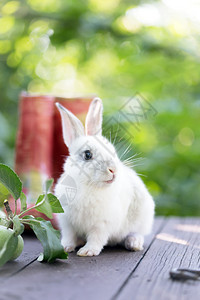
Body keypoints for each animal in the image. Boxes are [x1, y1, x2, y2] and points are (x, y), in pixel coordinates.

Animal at [54, 98, 154, 255]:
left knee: (136, 233)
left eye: (113, 150)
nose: (113, 170)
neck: (88, 186)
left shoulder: (102, 224)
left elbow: (96, 238)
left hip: (142, 219)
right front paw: (65, 247)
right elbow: (69, 235)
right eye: (87, 154)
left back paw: (134, 244)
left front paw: (87, 251)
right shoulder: (67, 222)